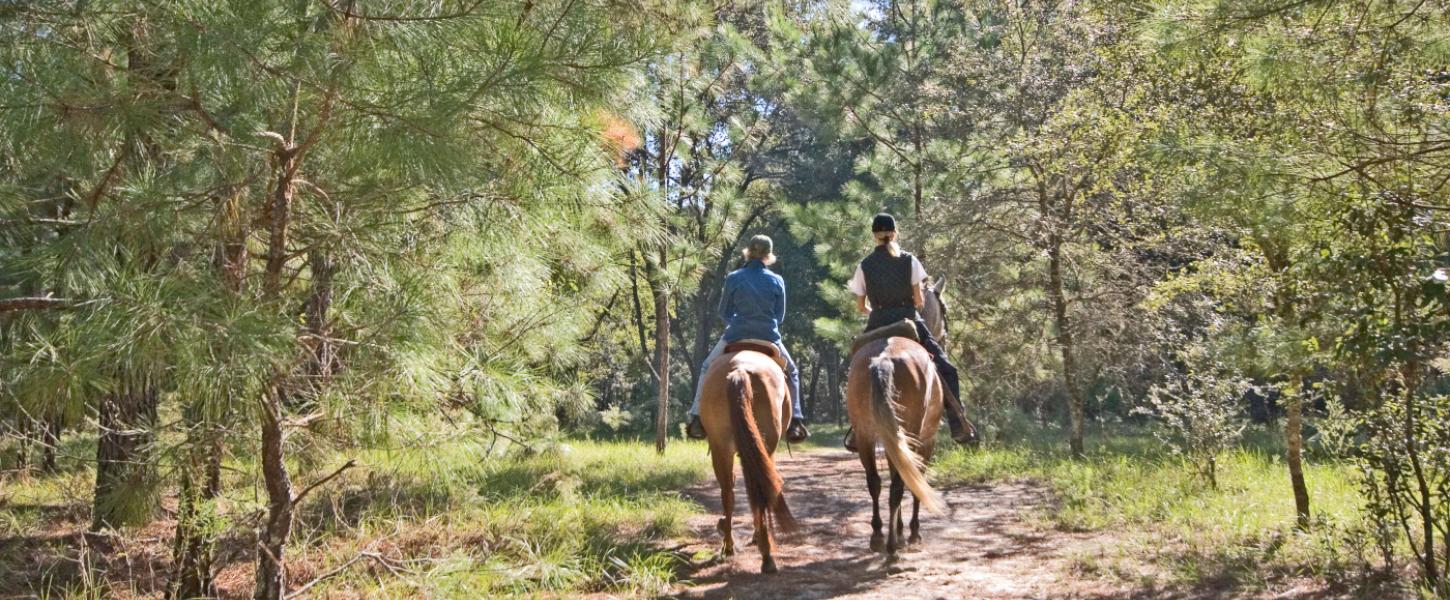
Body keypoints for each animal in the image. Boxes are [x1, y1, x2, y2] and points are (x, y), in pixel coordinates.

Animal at [696, 342, 800, 571]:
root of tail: (740, 370)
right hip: (764, 446)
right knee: (757, 489)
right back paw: (765, 555)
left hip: (721, 448)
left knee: (728, 492)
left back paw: (730, 545)